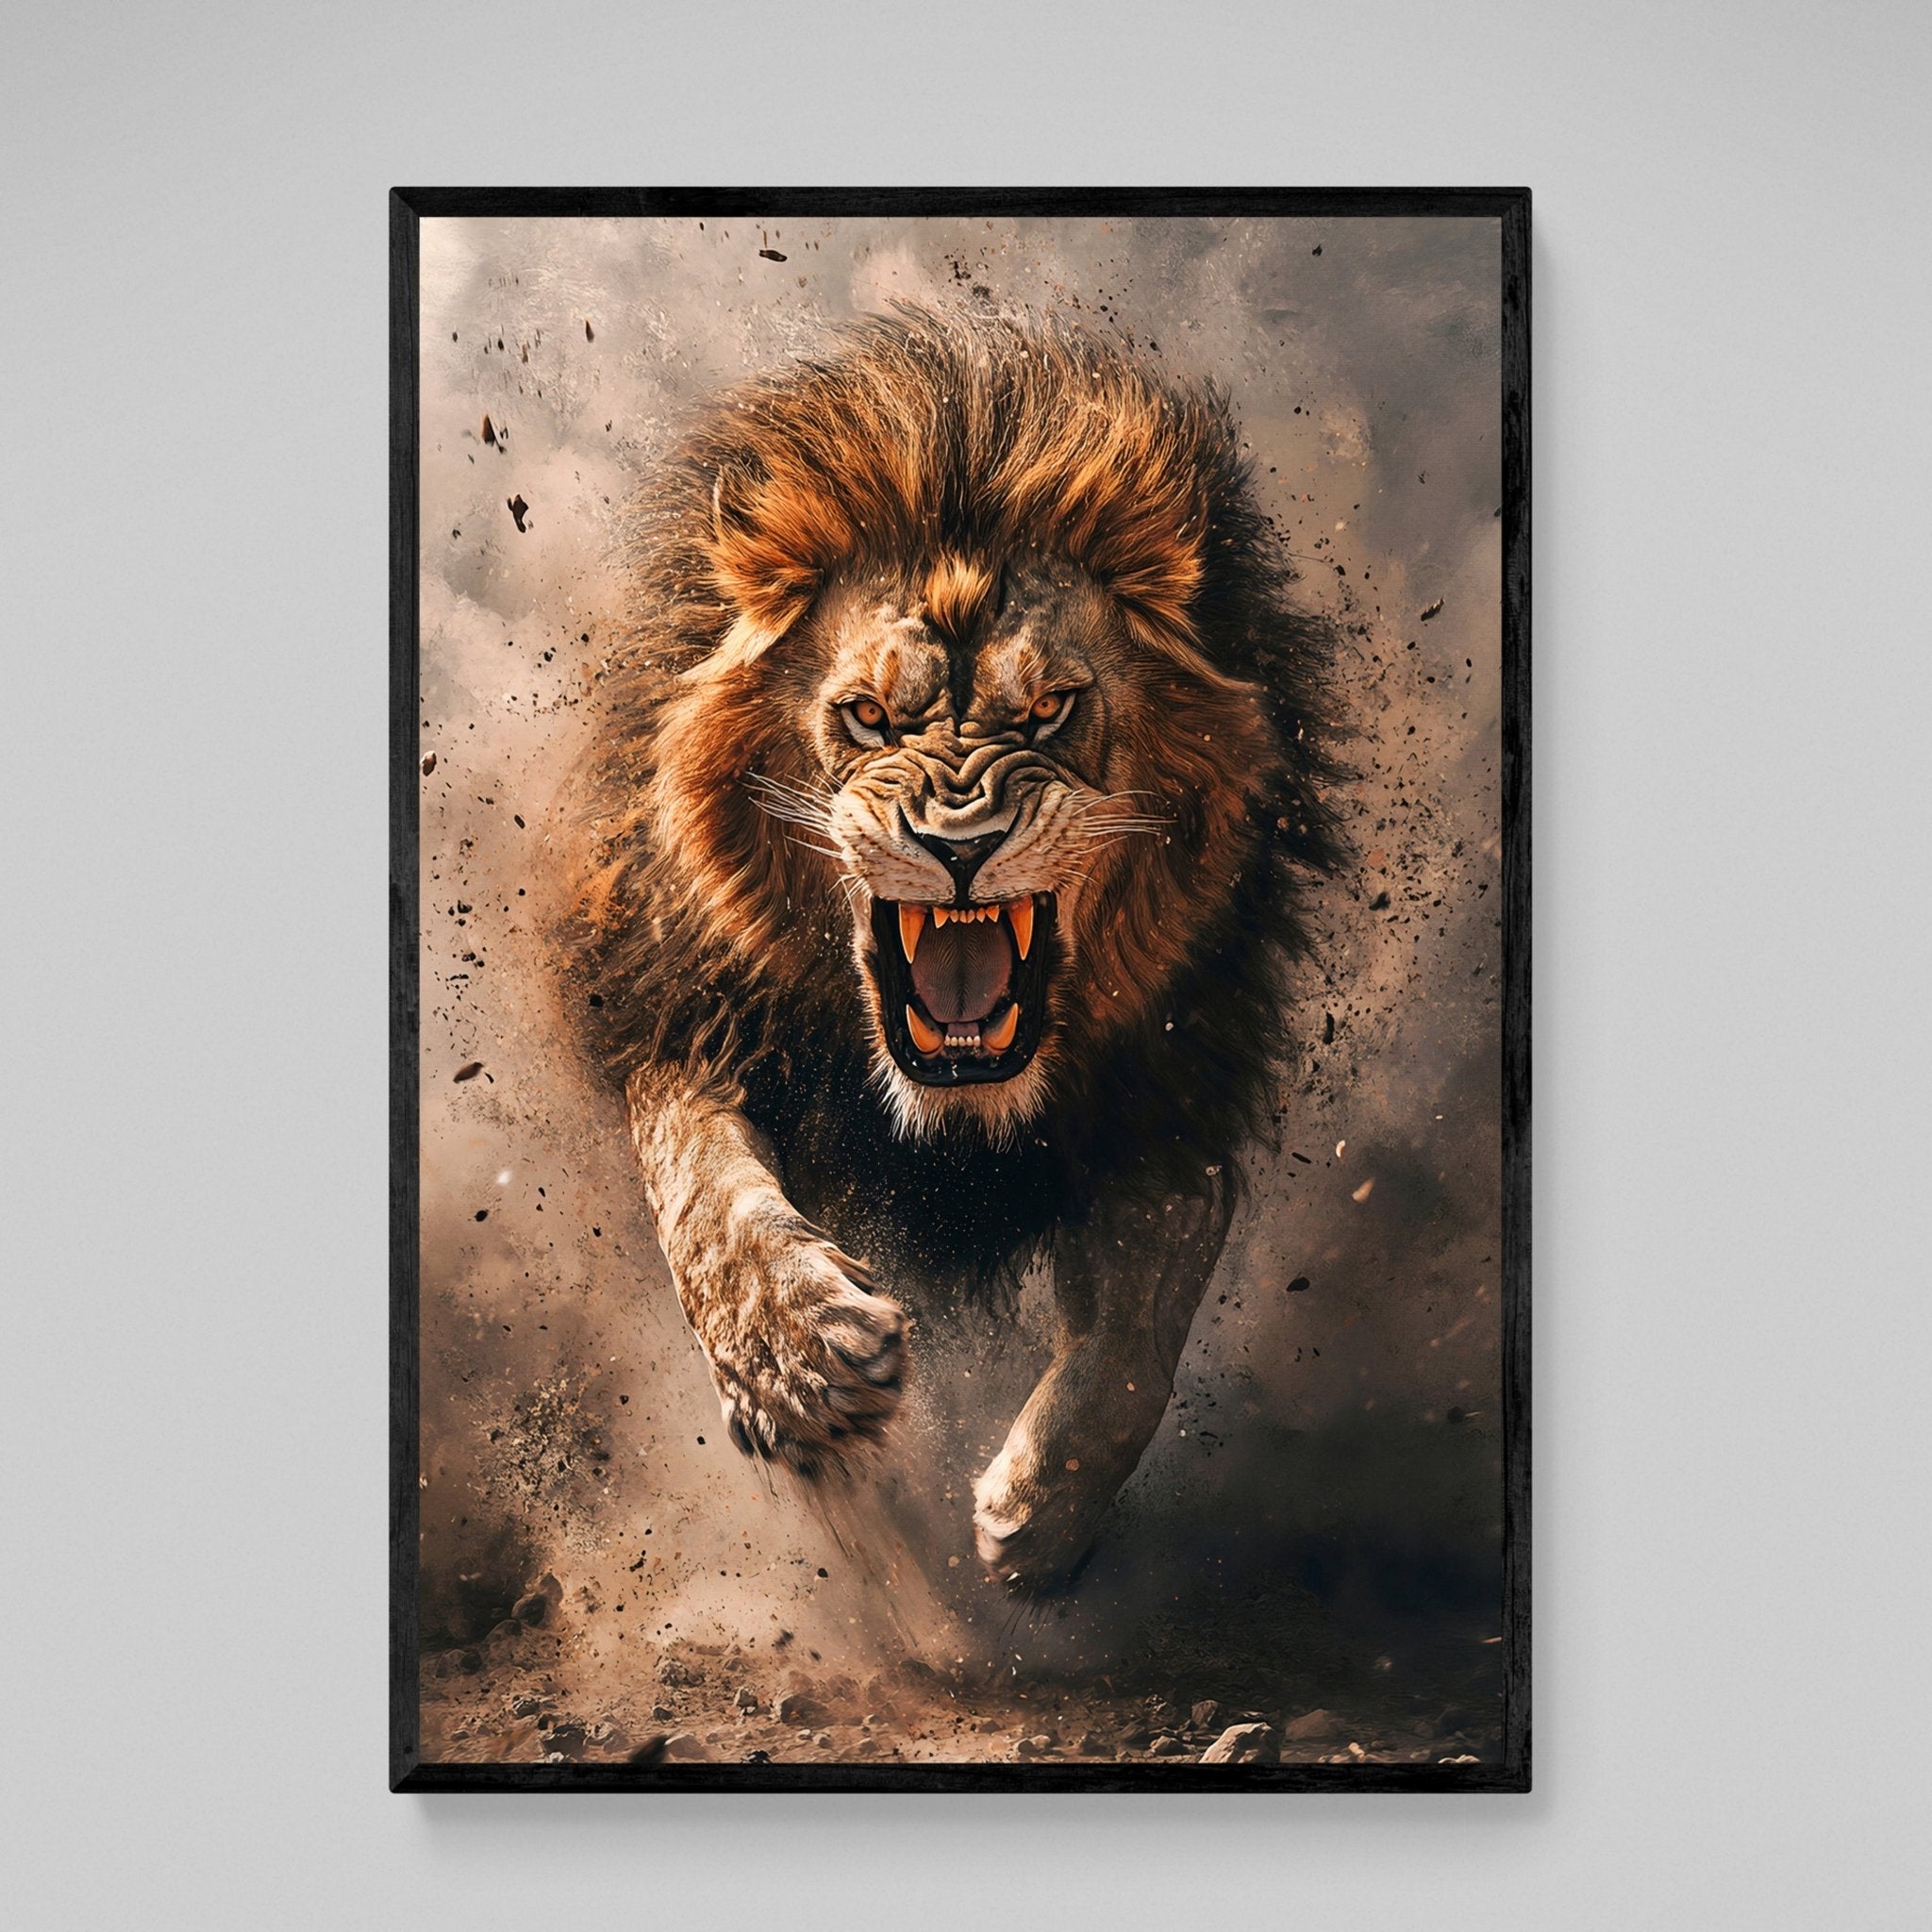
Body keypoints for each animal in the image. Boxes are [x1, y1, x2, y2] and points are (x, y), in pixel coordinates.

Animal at [565, 306, 1341, 1589]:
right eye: (869, 715)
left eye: (1049, 710)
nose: (959, 843)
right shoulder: (684, 1001)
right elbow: (696, 1185)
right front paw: (796, 1364)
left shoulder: (1173, 1080)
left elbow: (1156, 1288)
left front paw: (1040, 1512)